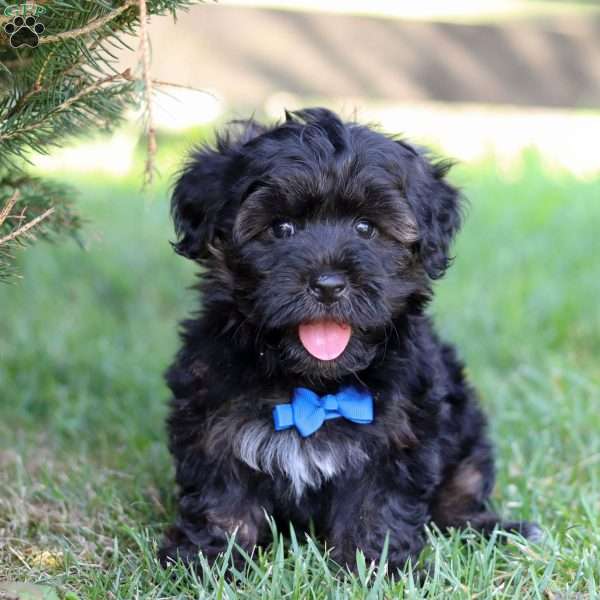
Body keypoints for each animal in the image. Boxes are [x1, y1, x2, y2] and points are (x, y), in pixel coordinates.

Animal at [157, 108, 536, 572]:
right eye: (281, 228)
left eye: (366, 227)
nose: (328, 284)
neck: (314, 386)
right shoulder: (213, 421)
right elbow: (220, 499)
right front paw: (209, 560)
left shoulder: (398, 437)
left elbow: (377, 507)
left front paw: (377, 566)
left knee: (461, 491)